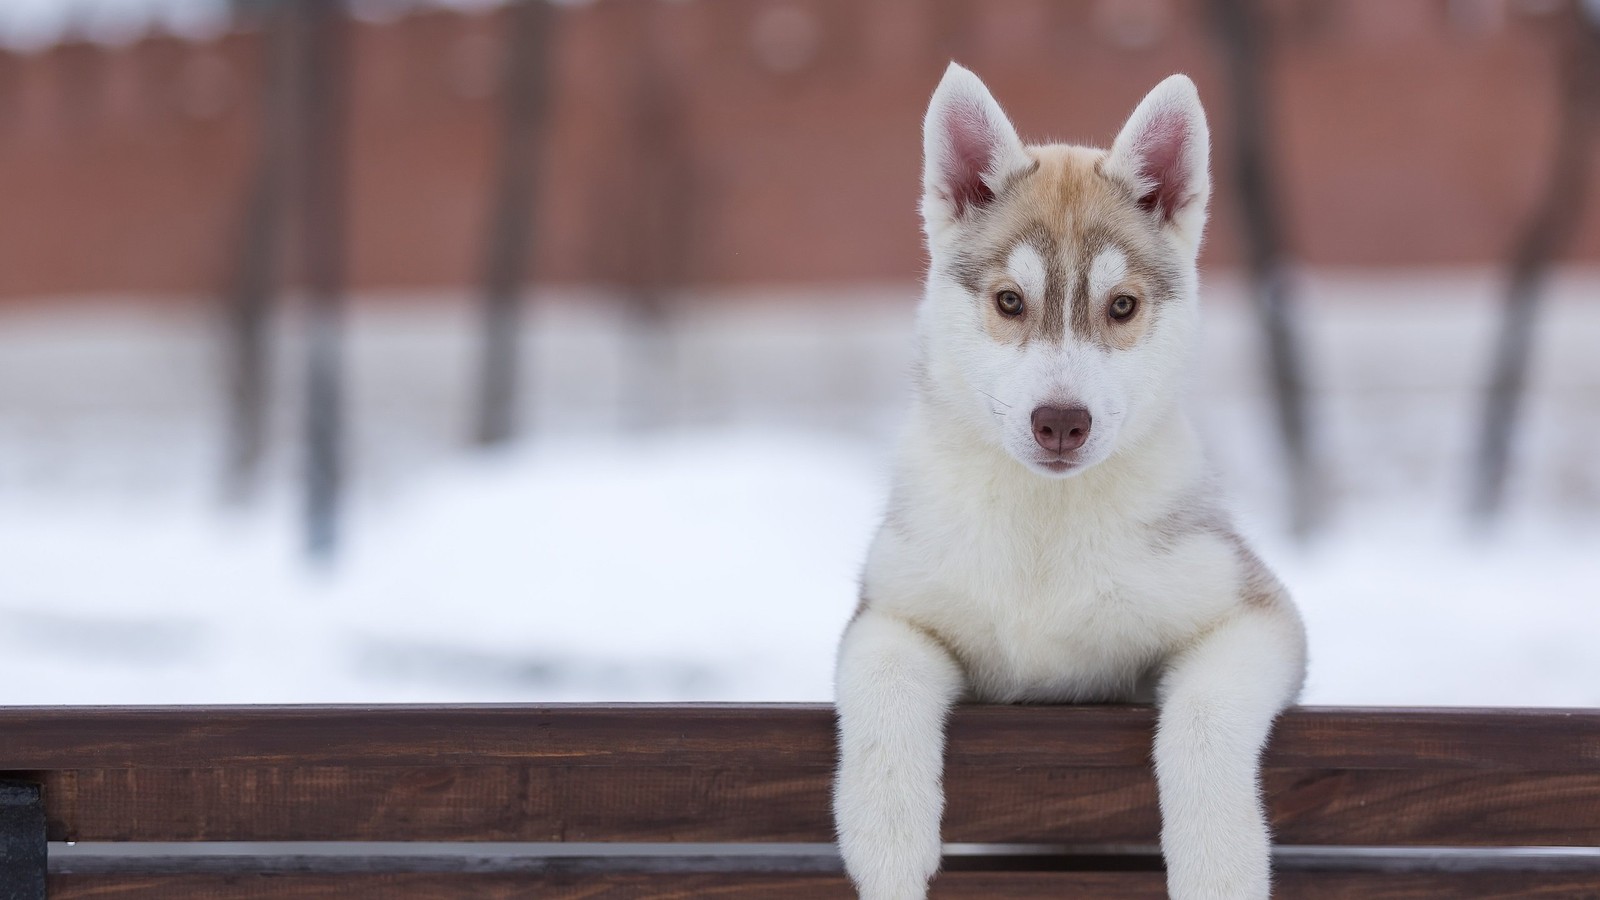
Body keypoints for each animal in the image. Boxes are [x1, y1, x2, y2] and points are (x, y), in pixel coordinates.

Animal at [832, 64, 1305, 896]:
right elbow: (883, 681)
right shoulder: (892, 609)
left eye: (1121, 306)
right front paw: (887, 845)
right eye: (1009, 301)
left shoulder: (1253, 612)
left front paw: (1218, 865)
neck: (1044, 529)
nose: (1061, 422)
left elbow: (1205, 716)